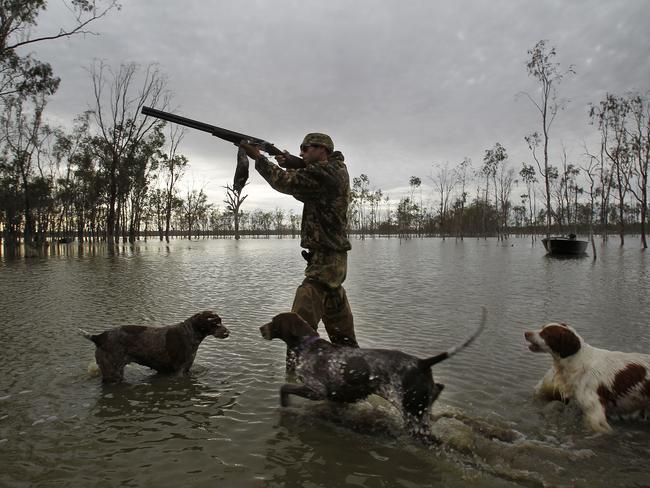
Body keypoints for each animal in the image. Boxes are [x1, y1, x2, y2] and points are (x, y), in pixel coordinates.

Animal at [81, 310, 229, 384]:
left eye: (220, 321)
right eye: (214, 323)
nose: (228, 332)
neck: (190, 332)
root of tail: (99, 337)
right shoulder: (180, 372)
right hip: (113, 373)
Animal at [256, 308, 484, 442]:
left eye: (274, 321)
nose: (260, 328)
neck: (308, 345)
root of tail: (421, 362)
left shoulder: (316, 390)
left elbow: (284, 388)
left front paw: (285, 405)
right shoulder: (336, 397)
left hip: (411, 413)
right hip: (421, 406)